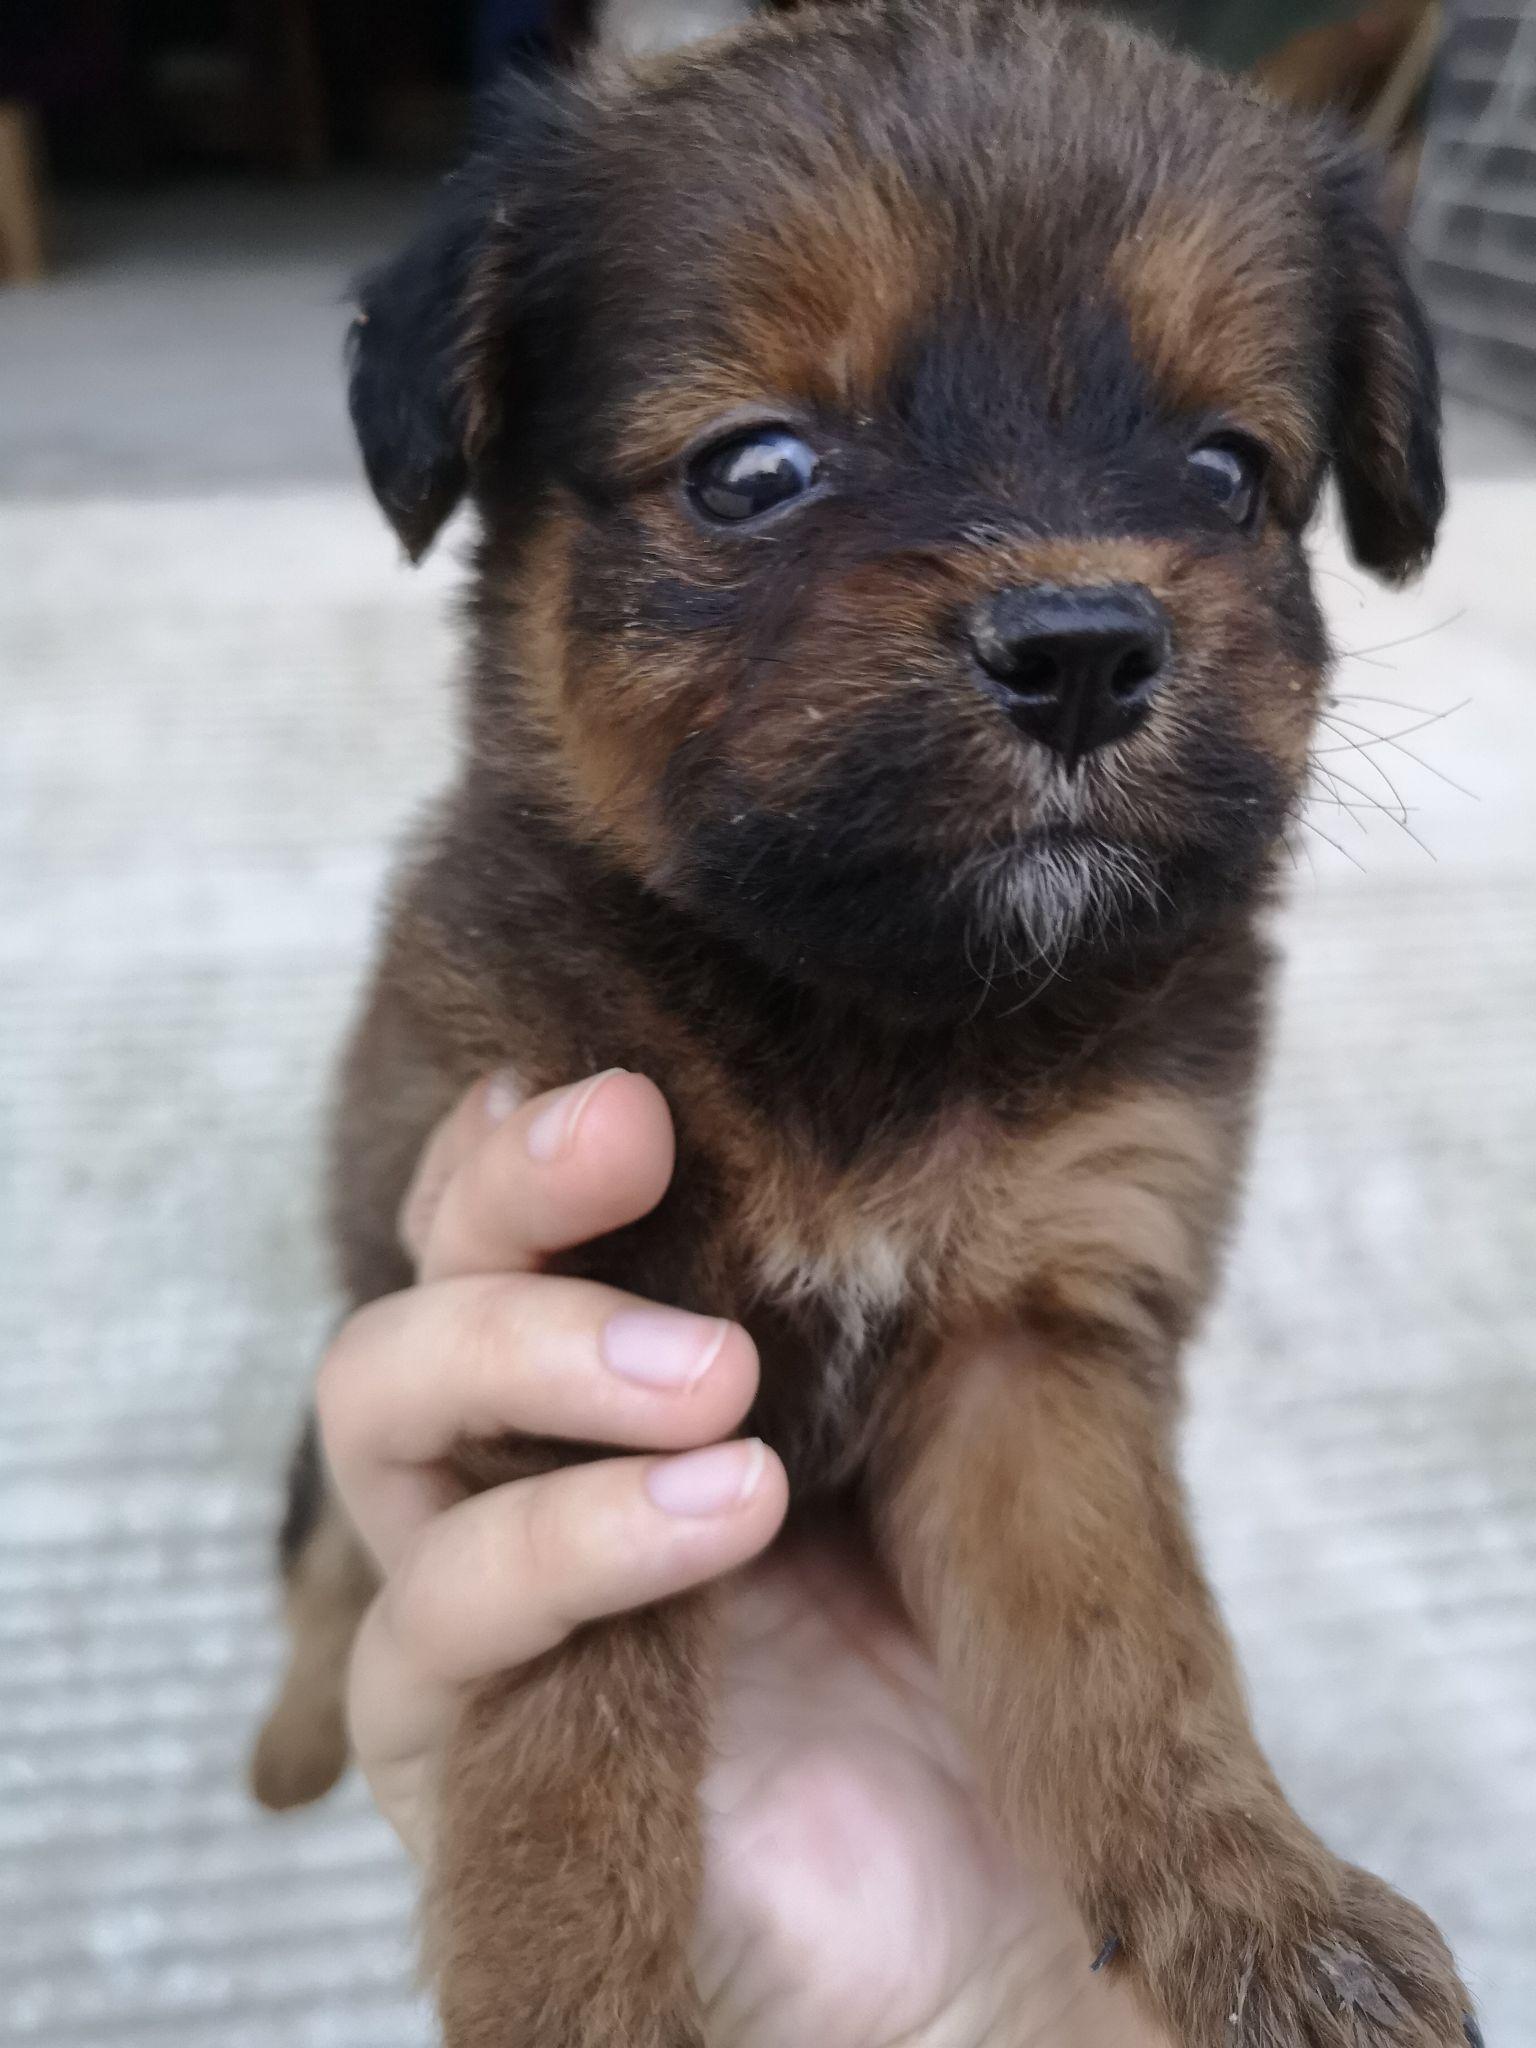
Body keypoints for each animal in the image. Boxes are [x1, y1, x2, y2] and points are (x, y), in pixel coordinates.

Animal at [252, 8, 1482, 2039]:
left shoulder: (1036, 1340)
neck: (883, 1015)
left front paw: (1259, 1903)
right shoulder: (586, 1328)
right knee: (330, 1549)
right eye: (753, 469)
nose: (1083, 652)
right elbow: (568, 1757)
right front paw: (576, 1995)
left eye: (1229, 472)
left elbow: (1127, 1651)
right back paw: (286, 1741)